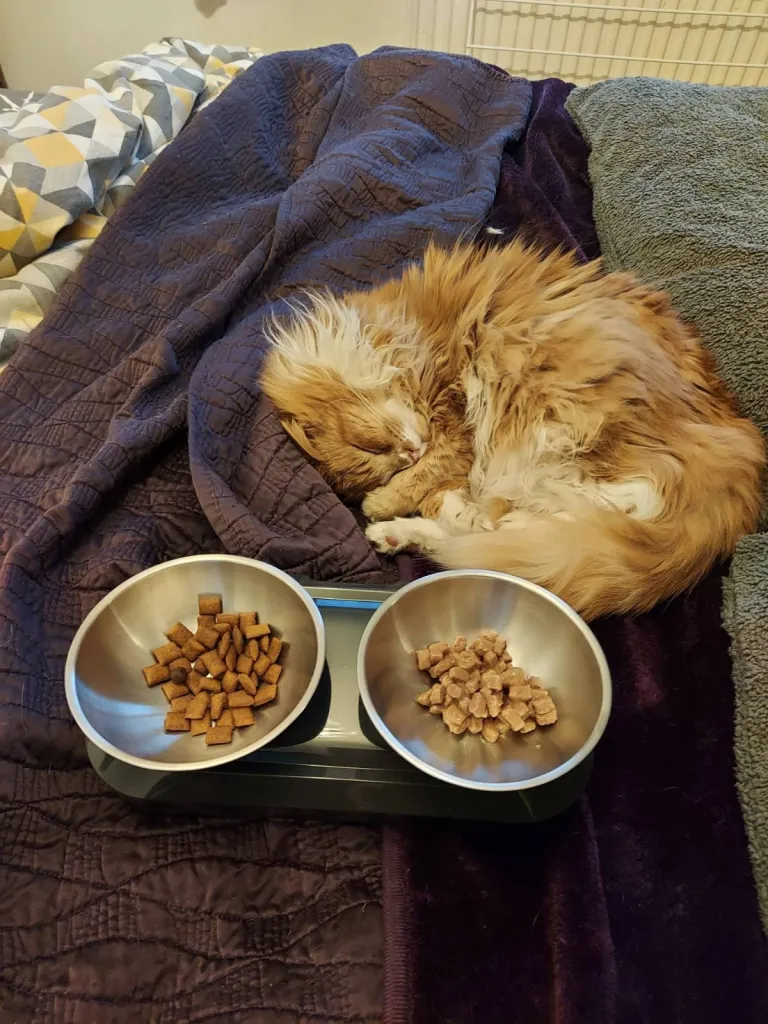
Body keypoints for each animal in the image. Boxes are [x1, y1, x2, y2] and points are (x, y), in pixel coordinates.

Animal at [262, 241, 765, 614]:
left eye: (371, 449)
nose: (408, 454)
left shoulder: (455, 417)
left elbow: (430, 471)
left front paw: (378, 502)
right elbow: (435, 489)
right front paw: (396, 504)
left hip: (573, 436)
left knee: (620, 502)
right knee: (485, 542)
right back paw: (398, 534)